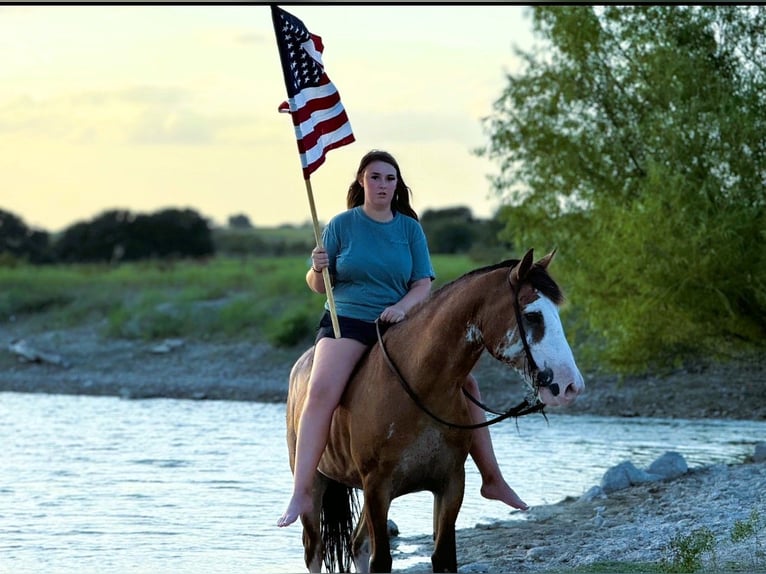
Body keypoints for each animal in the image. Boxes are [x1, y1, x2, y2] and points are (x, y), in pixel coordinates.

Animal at [284, 250, 584, 572]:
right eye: (532, 315)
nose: (571, 385)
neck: (417, 385)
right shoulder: (377, 488)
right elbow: (382, 561)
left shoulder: (449, 484)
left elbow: (443, 556)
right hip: (316, 487)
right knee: (314, 551)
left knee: (357, 544)